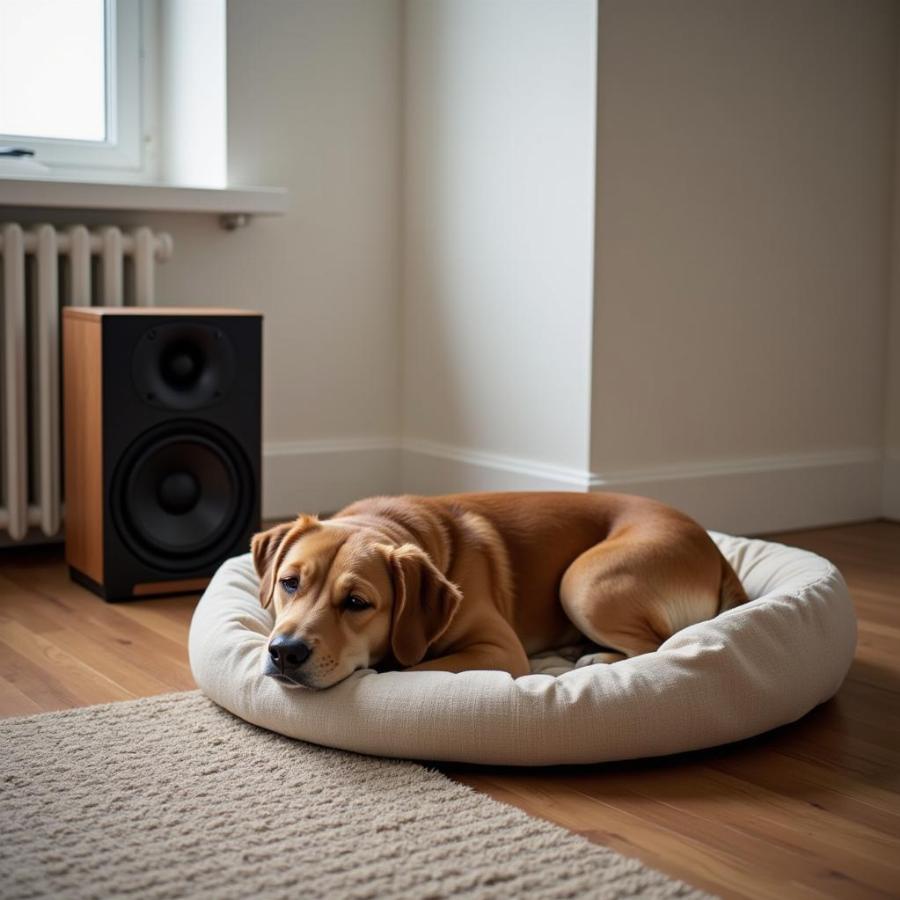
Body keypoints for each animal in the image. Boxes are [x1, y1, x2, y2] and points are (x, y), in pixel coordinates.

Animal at [251, 492, 744, 688]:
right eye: (289, 582)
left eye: (356, 603)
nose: (285, 652)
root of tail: (717, 553)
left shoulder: (499, 650)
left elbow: (412, 669)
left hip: (583, 581)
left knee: (655, 646)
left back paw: (595, 659)